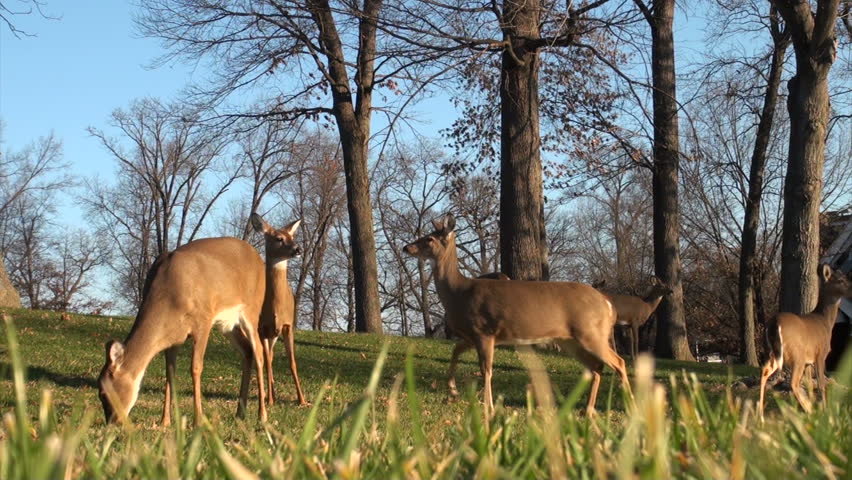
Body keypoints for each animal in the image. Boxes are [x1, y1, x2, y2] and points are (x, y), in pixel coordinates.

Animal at [98, 237, 269, 426]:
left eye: (103, 393)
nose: (112, 422)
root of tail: (258, 257)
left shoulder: (203, 319)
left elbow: (196, 367)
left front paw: (198, 421)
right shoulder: (174, 337)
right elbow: (170, 372)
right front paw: (165, 421)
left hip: (252, 309)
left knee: (259, 351)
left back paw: (262, 416)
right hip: (228, 324)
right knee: (247, 351)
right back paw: (240, 414)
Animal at [250, 213, 308, 407]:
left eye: (293, 236)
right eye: (278, 238)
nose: (298, 249)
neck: (275, 306)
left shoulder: (288, 325)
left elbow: (292, 362)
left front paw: (302, 400)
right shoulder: (262, 327)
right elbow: (266, 362)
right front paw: (269, 400)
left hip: (275, 335)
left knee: (271, 356)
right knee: (265, 358)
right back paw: (269, 396)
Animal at [403, 214, 631, 414]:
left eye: (429, 238)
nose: (407, 247)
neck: (459, 292)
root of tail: (608, 305)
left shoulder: (484, 330)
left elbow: (486, 369)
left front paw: (489, 406)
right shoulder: (471, 335)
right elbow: (455, 351)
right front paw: (453, 391)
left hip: (590, 332)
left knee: (619, 362)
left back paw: (630, 406)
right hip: (570, 339)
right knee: (596, 367)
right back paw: (588, 410)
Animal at [759, 264, 852, 420]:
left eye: (846, 277)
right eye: (840, 280)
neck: (825, 322)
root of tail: (775, 323)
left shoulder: (809, 361)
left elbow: (809, 385)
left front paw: (816, 407)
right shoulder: (820, 354)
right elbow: (821, 384)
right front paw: (824, 412)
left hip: (772, 352)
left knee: (765, 371)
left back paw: (761, 416)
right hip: (797, 354)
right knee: (793, 382)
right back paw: (808, 409)